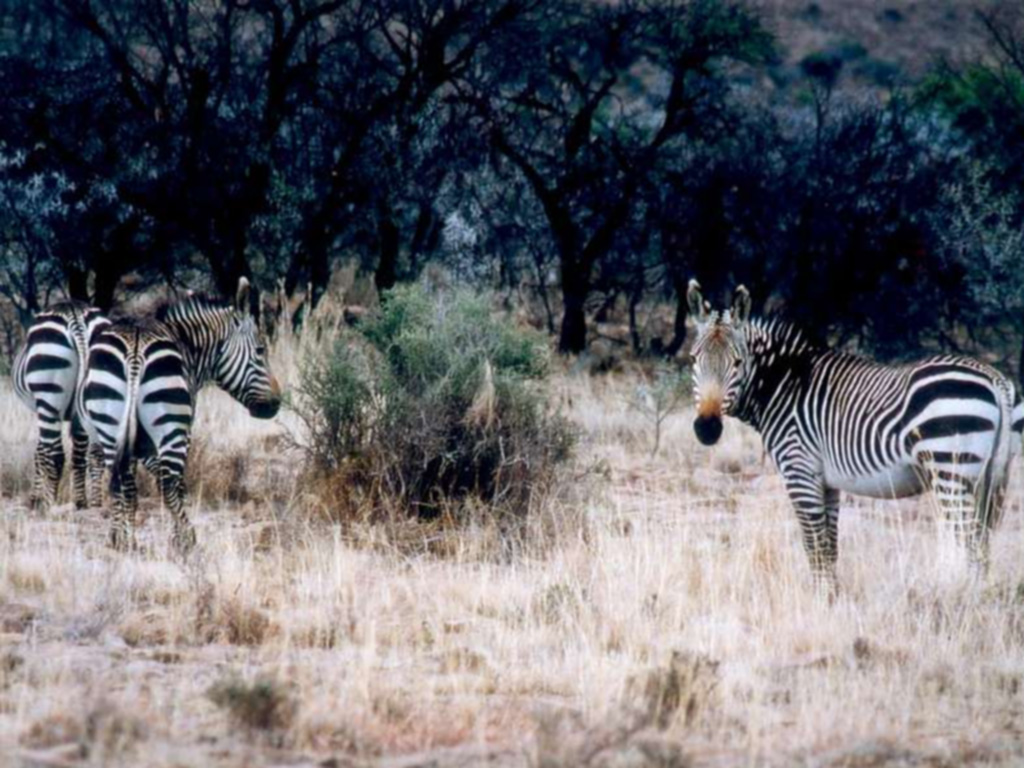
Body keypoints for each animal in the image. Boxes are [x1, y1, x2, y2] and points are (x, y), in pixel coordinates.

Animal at [13, 302, 110, 509]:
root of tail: (75, 315)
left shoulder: (39, 407)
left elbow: (40, 452)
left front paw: (35, 499)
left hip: (49, 395)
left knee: (56, 455)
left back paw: (49, 505)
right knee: (90, 455)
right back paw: (89, 503)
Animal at [78, 278, 281, 554]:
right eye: (260, 350)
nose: (277, 403)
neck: (190, 348)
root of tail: (135, 349)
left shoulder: (134, 438)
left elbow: (130, 487)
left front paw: (124, 537)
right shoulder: (183, 431)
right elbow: (177, 485)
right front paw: (178, 536)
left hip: (108, 423)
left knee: (120, 479)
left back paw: (119, 540)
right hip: (171, 427)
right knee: (168, 483)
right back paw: (187, 540)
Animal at [686, 280, 1024, 592]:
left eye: (737, 362)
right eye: (693, 359)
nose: (707, 428)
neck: (784, 385)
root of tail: (995, 379)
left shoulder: (799, 471)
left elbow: (814, 546)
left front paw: (819, 603)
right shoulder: (827, 481)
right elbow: (830, 547)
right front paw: (832, 599)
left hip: (949, 469)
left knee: (969, 543)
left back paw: (965, 598)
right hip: (990, 476)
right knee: (982, 543)